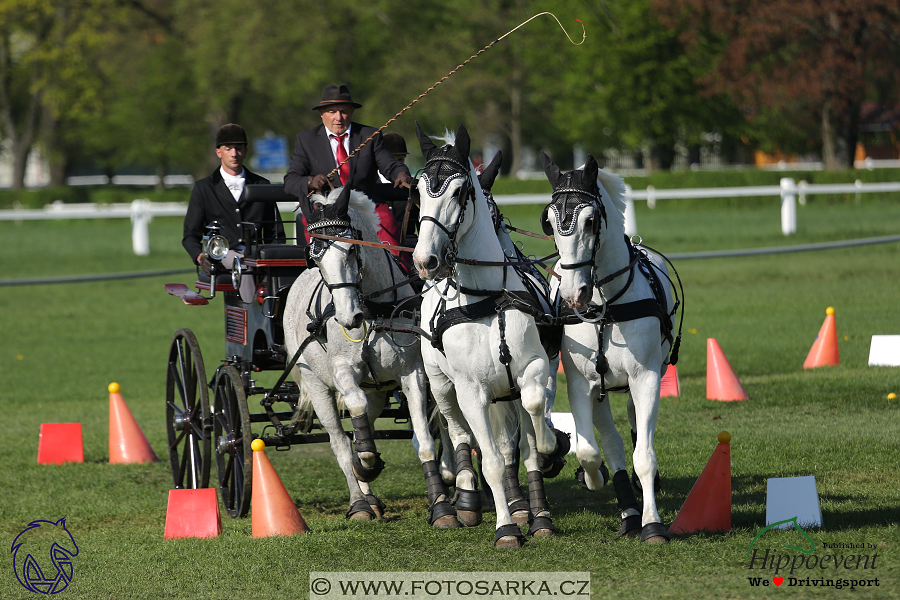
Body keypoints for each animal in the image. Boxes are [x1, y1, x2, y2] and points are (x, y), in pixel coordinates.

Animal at [284, 183, 458, 524]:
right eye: (315, 259)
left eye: (351, 250)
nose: (348, 318)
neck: (371, 310)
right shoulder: (342, 373)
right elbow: (355, 419)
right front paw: (366, 465)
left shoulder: (412, 374)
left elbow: (424, 440)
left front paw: (441, 505)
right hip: (316, 386)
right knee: (340, 442)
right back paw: (360, 502)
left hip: (377, 391)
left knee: (360, 428)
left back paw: (370, 495)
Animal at [412, 124, 568, 548]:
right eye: (417, 192)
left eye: (459, 192)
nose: (425, 261)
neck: (485, 300)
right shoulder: (470, 390)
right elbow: (494, 463)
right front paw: (506, 528)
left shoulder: (535, 368)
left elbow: (532, 428)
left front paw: (551, 454)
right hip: (440, 385)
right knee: (457, 433)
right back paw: (463, 497)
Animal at [536, 151, 680, 544]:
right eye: (549, 221)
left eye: (590, 220)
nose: (574, 293)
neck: (605, 306)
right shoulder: (580, 384)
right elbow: (589, 450)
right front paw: (593, 478)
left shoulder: (645, 377)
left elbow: (644, 455)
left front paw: (653, 524)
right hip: (599, 388)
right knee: (612, 442)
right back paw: (627, 512)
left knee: (632, 426)